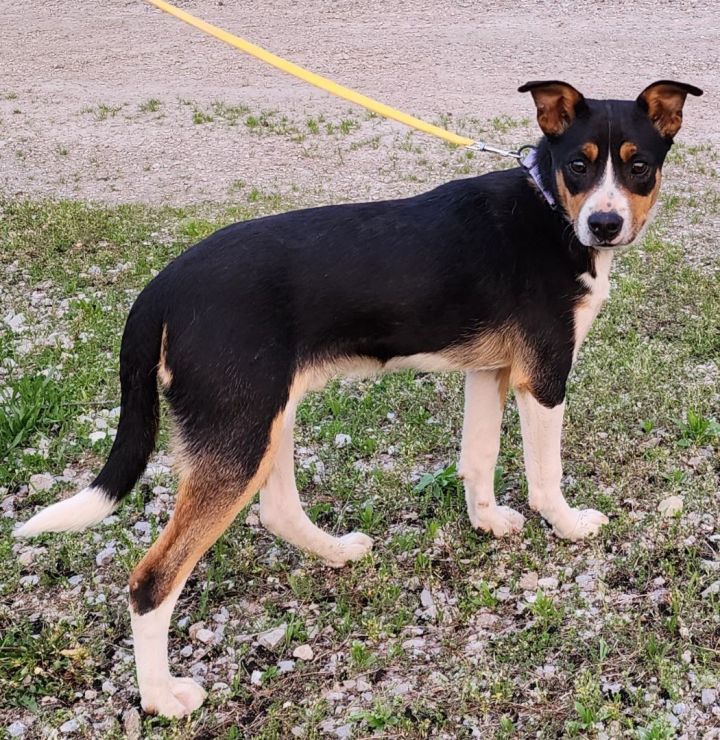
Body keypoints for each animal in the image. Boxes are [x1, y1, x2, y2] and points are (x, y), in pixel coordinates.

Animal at [15, 76, 704, 716]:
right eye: (578, 165)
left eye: (638, 165)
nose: (604, 225)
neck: (550, 210)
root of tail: (161, 287)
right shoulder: (544, 377)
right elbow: (545, 476)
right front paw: (567, 525)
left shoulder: (490, 370)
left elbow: (478, 459)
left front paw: (486, 522)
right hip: (239, 435)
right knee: (152, 580)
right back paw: (161, 696)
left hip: (265, 416)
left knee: (278, 511)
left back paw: (337, 552)